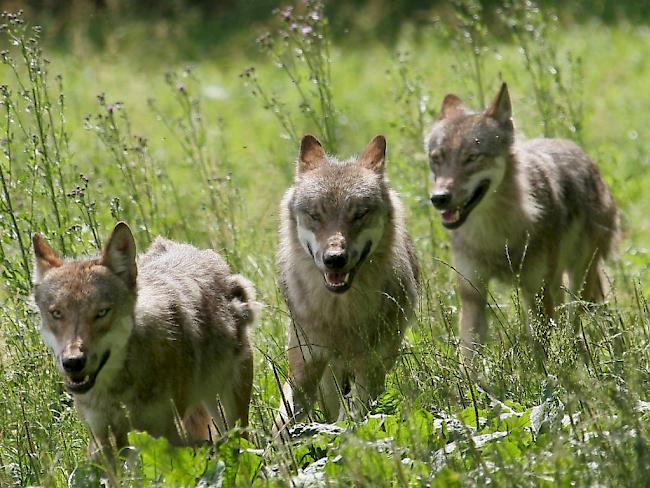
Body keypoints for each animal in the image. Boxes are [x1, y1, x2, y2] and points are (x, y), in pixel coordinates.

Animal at [31, 223, 256, 464]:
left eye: (102, 312)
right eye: (56, 313)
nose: (73, 362)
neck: (118, 389)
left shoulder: (162, 434)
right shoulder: (102, 435)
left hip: (230, 414)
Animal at [270, 133, 418, 434]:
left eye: (359, 214)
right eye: (315, 215)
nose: (334, 259)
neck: (340, 314)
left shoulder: (371, 367)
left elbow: (350, 418)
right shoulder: (304, 367)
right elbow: (282, 424)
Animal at [422, 83, 616, 358]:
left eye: (472, 157)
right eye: (437, 158)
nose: (439, 198)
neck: (496, 233)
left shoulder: (536, 293)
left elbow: (541, 353)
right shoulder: (472, 295)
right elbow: (469, 356)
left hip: (577, 280)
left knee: (574, 323)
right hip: (558, 283)